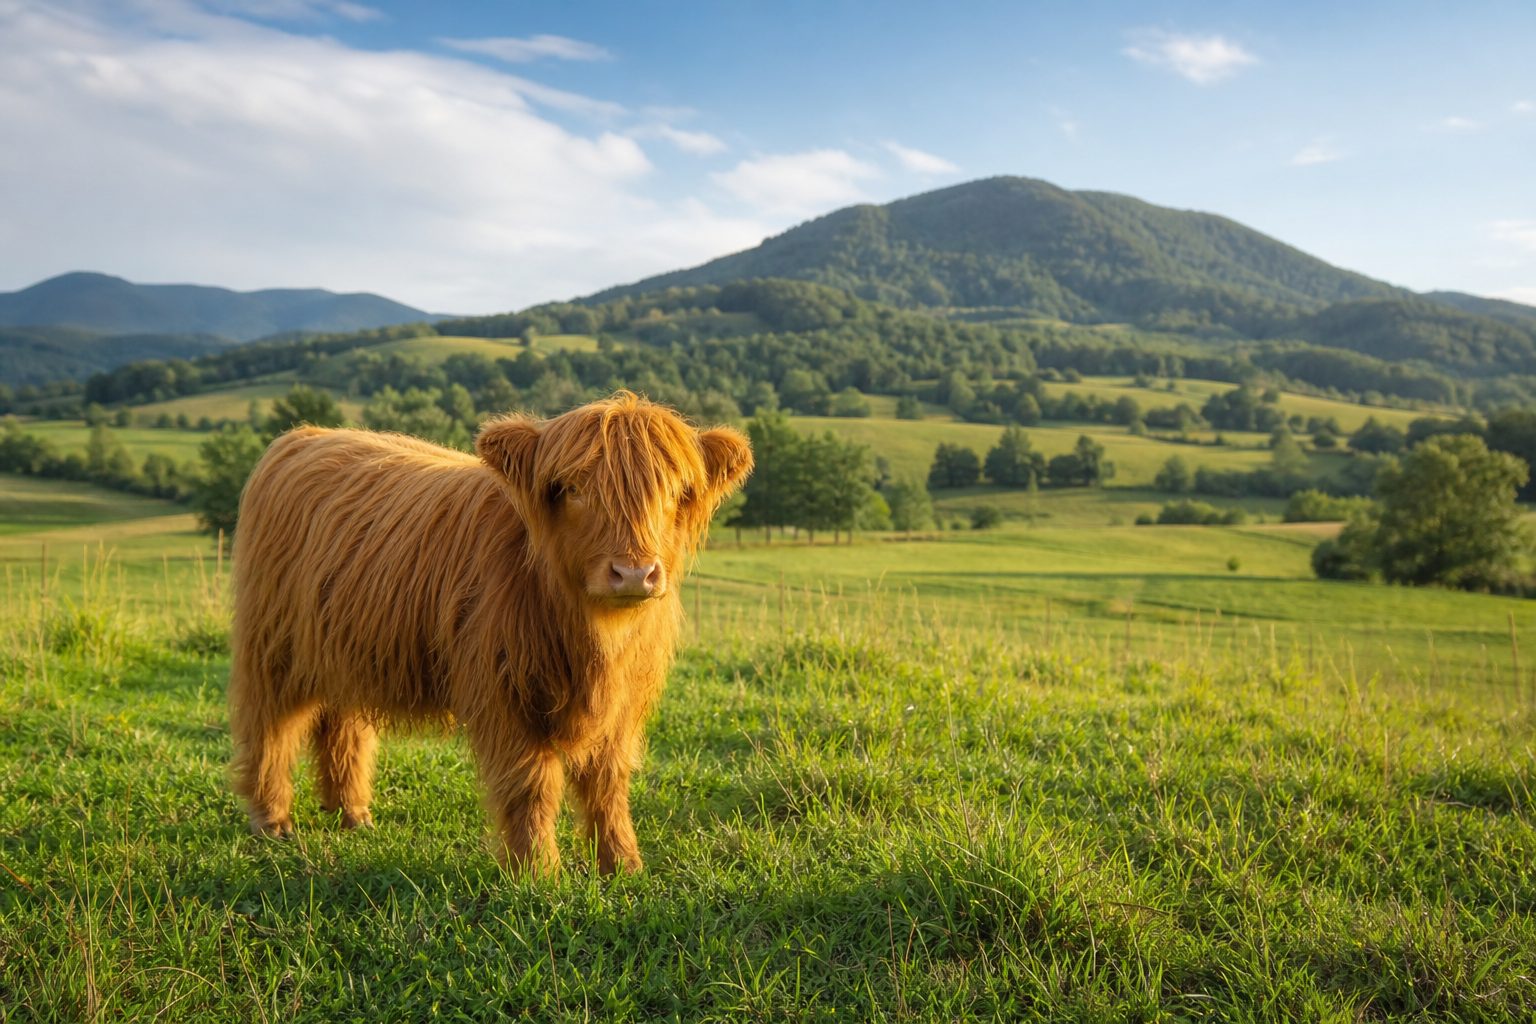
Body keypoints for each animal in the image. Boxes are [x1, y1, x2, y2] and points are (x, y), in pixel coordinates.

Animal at [227, 391, 753, 875]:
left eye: (677, 493)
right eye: (572, 489)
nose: (634, 573)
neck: (594, 637)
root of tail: (303, 437)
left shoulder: (622, 704)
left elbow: (607, 781)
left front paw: (622, 864)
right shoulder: (505, 694)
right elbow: (531, 783)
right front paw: (537, 872)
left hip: (347, 646)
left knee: (341, 722)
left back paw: (352, 813)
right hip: (271, 645)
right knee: (269, 728)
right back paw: (272, 819)